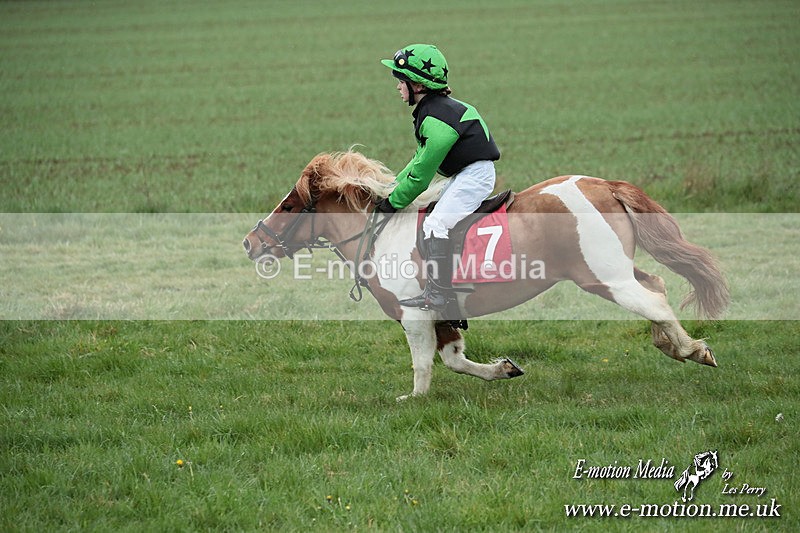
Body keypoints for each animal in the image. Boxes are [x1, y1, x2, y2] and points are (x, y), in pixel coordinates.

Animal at [243, 151, 729, 401]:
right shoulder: (442, 315)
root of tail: (603, 185)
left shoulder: (415, 315)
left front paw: (414, 400)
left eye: (290, 205)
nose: (251, 242)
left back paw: (693, 349)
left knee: (654, 300)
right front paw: (503, 370)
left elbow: (424, 365)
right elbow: (455, 359)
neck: (380, 234)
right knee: (657, 287)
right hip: (616, 271)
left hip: (604, 277)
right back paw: (671, 345)